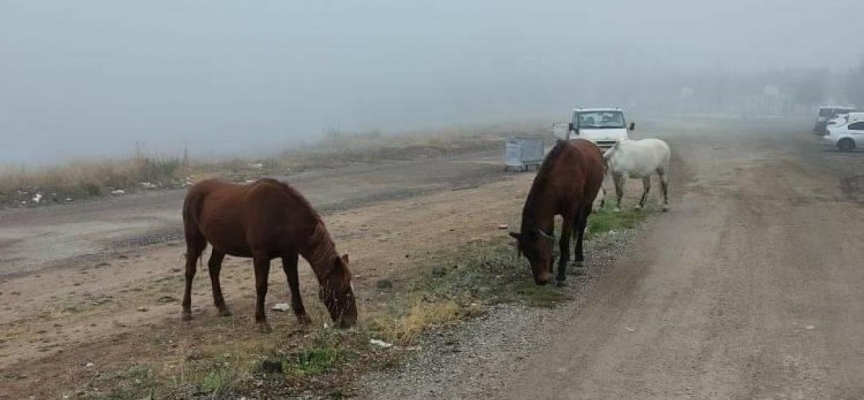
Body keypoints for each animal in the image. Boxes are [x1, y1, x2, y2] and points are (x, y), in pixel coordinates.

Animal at [182, 178, 358, 328]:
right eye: (343, 290)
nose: (351, 322)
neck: (281, 215)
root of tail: (193, 190)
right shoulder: (261, 257)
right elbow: (261, 287)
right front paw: (261, 321)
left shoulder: (290, 255)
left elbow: (294, 283)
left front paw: (302, 316)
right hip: (194, 241)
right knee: (190, 271)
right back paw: (186, 310)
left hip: (220, 244)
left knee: (213, 268)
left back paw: (222, 307)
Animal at [510, 139, 604, 286]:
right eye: (527, 254)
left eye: (537, 251)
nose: (540, 281)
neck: (560, 179)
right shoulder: (550, 214)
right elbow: (552, 236)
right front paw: (553, 265)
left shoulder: (569, 213)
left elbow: (563, 241)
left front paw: (561, 275)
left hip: (588, 202)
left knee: (581, 228)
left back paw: (578, 257)